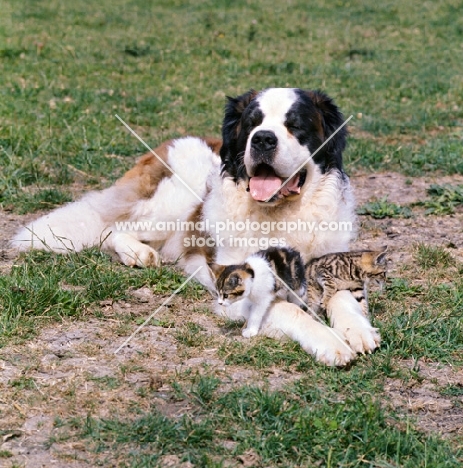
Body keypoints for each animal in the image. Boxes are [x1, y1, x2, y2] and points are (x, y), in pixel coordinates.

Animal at [11, 88, 380, 366]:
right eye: (251, 124)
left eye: (295, 125)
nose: (262, 139)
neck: (282, 213)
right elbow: (290, 309)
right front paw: (330, 341)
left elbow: (342, 294)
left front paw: (358, 329)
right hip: (172, 198)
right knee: (110, 227)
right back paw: (137, 253)